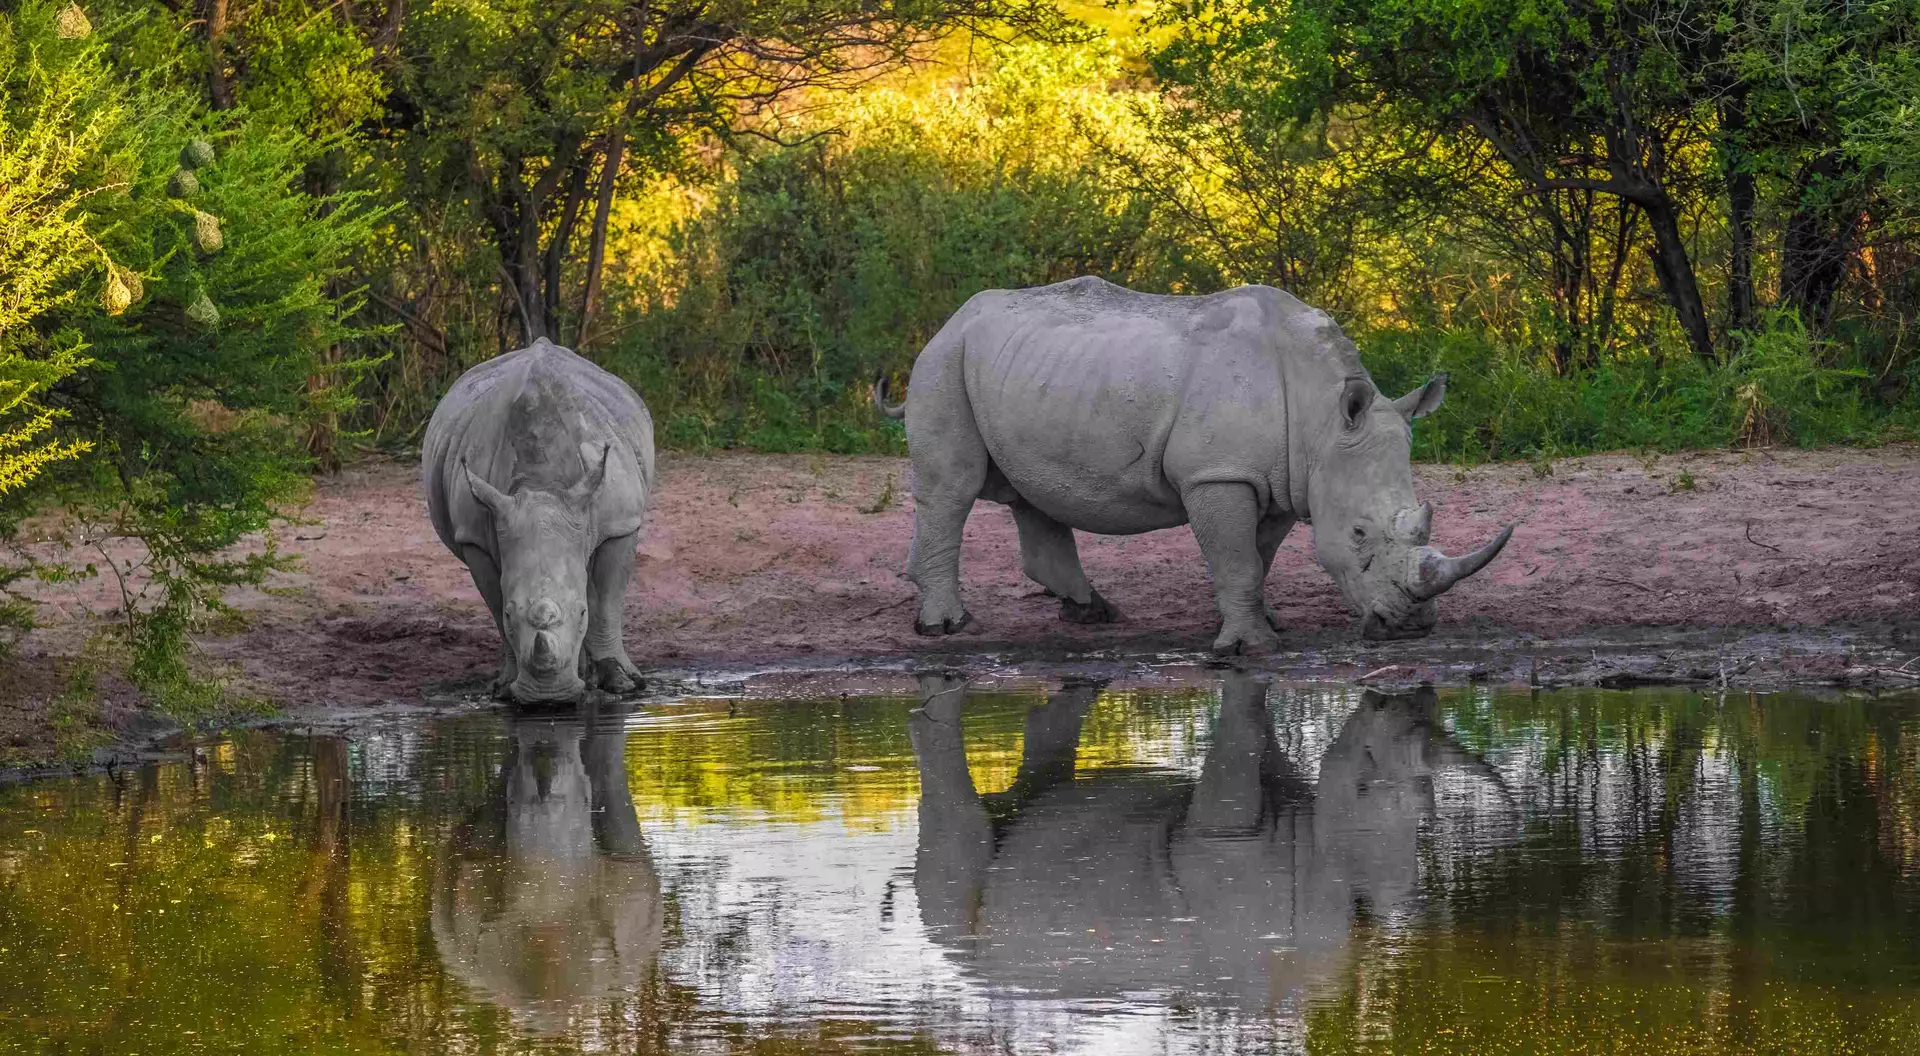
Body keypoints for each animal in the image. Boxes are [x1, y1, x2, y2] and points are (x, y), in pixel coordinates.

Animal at [425, 338, 654, 702]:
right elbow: (495, 604)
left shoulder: (620, 523)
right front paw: (505, 685)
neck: (541, 484)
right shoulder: (474, 536)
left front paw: (621, 683)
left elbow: (606, 603)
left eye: (580, 613)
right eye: (511, 615)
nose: (549, 698)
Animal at [876, 276, 1513, 650]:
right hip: (945, 363)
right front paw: (1249, 646)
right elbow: (1237, 558)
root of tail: (952, 319)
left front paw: (1258, 622)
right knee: (952, 490)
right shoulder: (1219, 474)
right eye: (1359, 533)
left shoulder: (1283, 479)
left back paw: (1092, 613)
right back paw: (946, 627)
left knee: (1032, 492)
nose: (1410, 627)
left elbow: (1257, 556)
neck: (1322, 419)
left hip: (1021, 369)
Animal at [907, 672, 1512, 1009]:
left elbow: (1259, 738)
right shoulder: (1226, 835)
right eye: (1362, 780)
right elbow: (1241, 743)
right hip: (961, 940)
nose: (1394, 698)